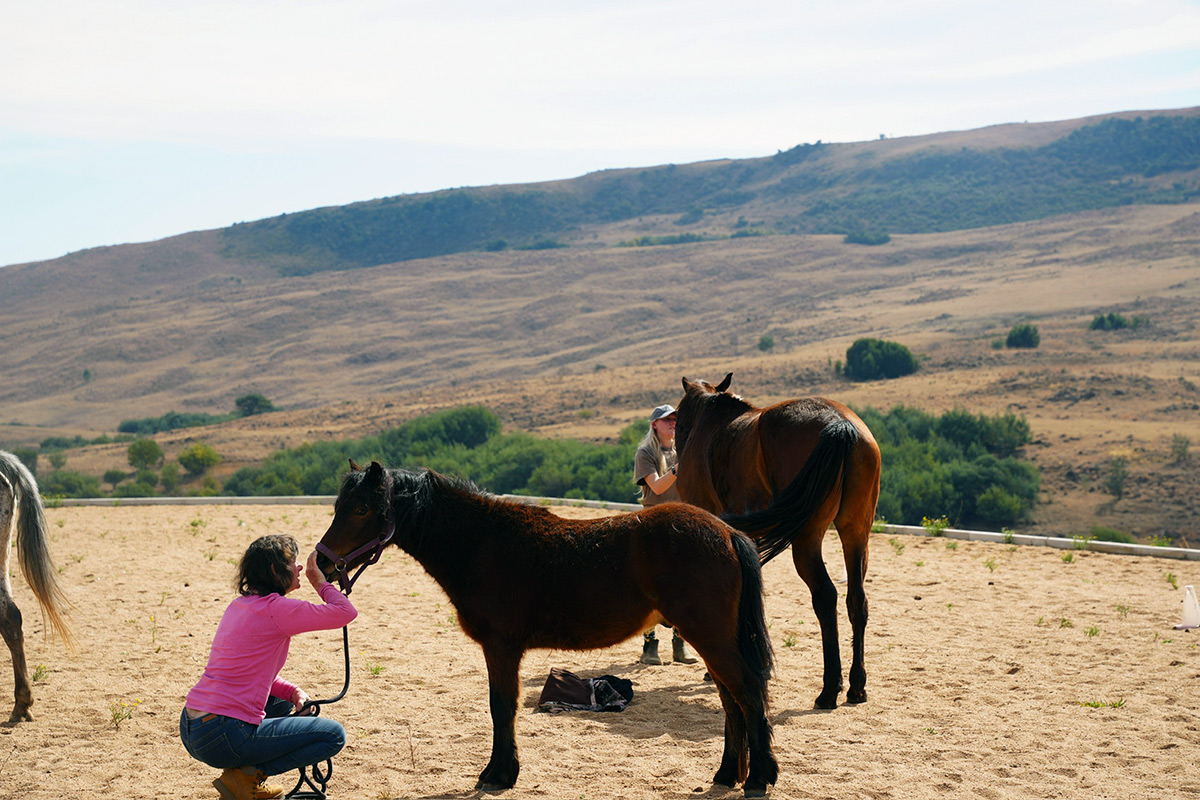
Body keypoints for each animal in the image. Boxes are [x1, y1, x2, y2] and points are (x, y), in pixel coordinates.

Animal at [316, 461, 778, 796]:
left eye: (361, 509)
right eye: (339, 506)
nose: (322, 562)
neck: (481, 543)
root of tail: (728, 532)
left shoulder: (501, 647)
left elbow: (502, 707)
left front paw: (498, 775)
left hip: (711, 638)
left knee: (748, 694)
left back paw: (758, 778)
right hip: (710, 640)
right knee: (732, 700)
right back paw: (727, 774)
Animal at [673, 374, 881, 710]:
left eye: (678, 419)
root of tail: (841, 424)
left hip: (808, 539)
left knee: (826, 597)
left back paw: (829, 690)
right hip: (856, 533)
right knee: (856, 600)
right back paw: (856, 686)